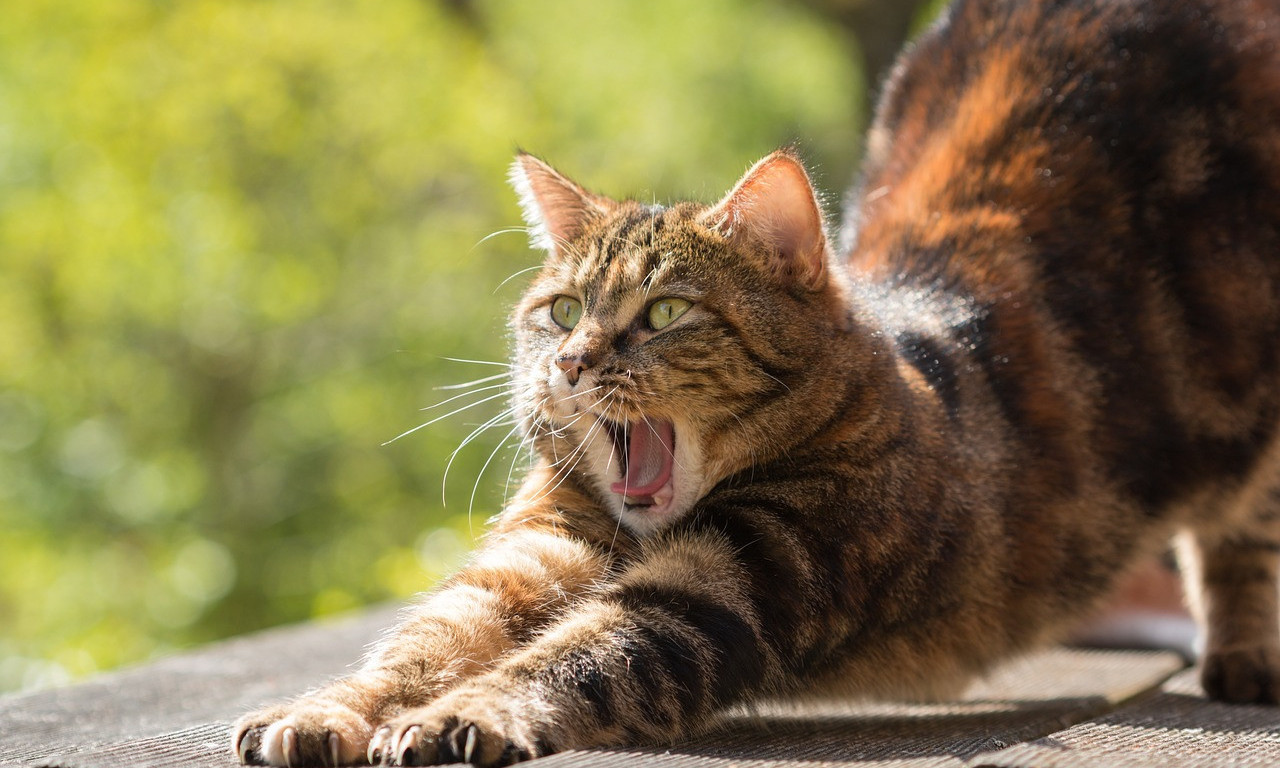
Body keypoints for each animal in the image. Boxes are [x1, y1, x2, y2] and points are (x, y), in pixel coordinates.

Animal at [232, 0, 1280, 762]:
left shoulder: (740, 579)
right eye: (562, 312)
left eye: (663, 313)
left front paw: (467, 714)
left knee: (1241, 540)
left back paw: (1244, 656)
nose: (571, 364)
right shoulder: (540, 546)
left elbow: (578, 653)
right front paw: (326, 711)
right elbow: (429, 638)